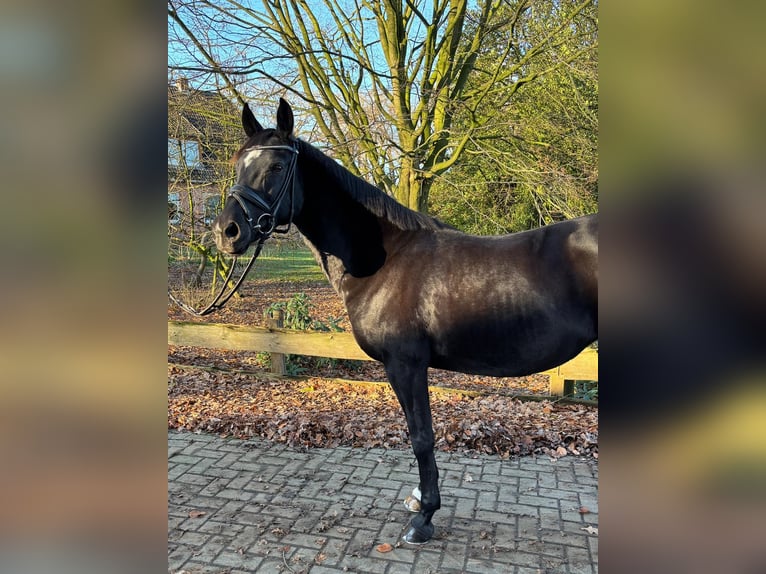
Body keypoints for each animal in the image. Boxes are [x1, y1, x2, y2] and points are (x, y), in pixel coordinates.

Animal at [212, 99, 600, 544]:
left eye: (276, 166)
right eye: (237, 164)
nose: (227, 232)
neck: (387, 258)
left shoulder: (406, 365)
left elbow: (421, 438)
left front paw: (424, 517)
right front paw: (419, 502)